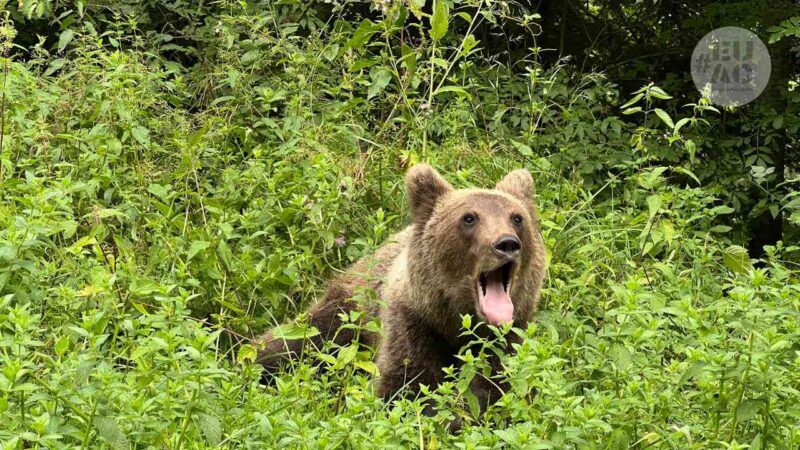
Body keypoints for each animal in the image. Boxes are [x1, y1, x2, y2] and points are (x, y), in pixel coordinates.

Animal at [257, 164, 547, 413]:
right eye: (469, 218)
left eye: (517, 218)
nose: (506, 244)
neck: (452, 324)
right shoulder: (412, 323)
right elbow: (408, 386)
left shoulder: (509, 337)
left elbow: (496, 387)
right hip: (347, 311)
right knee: (294, 341)